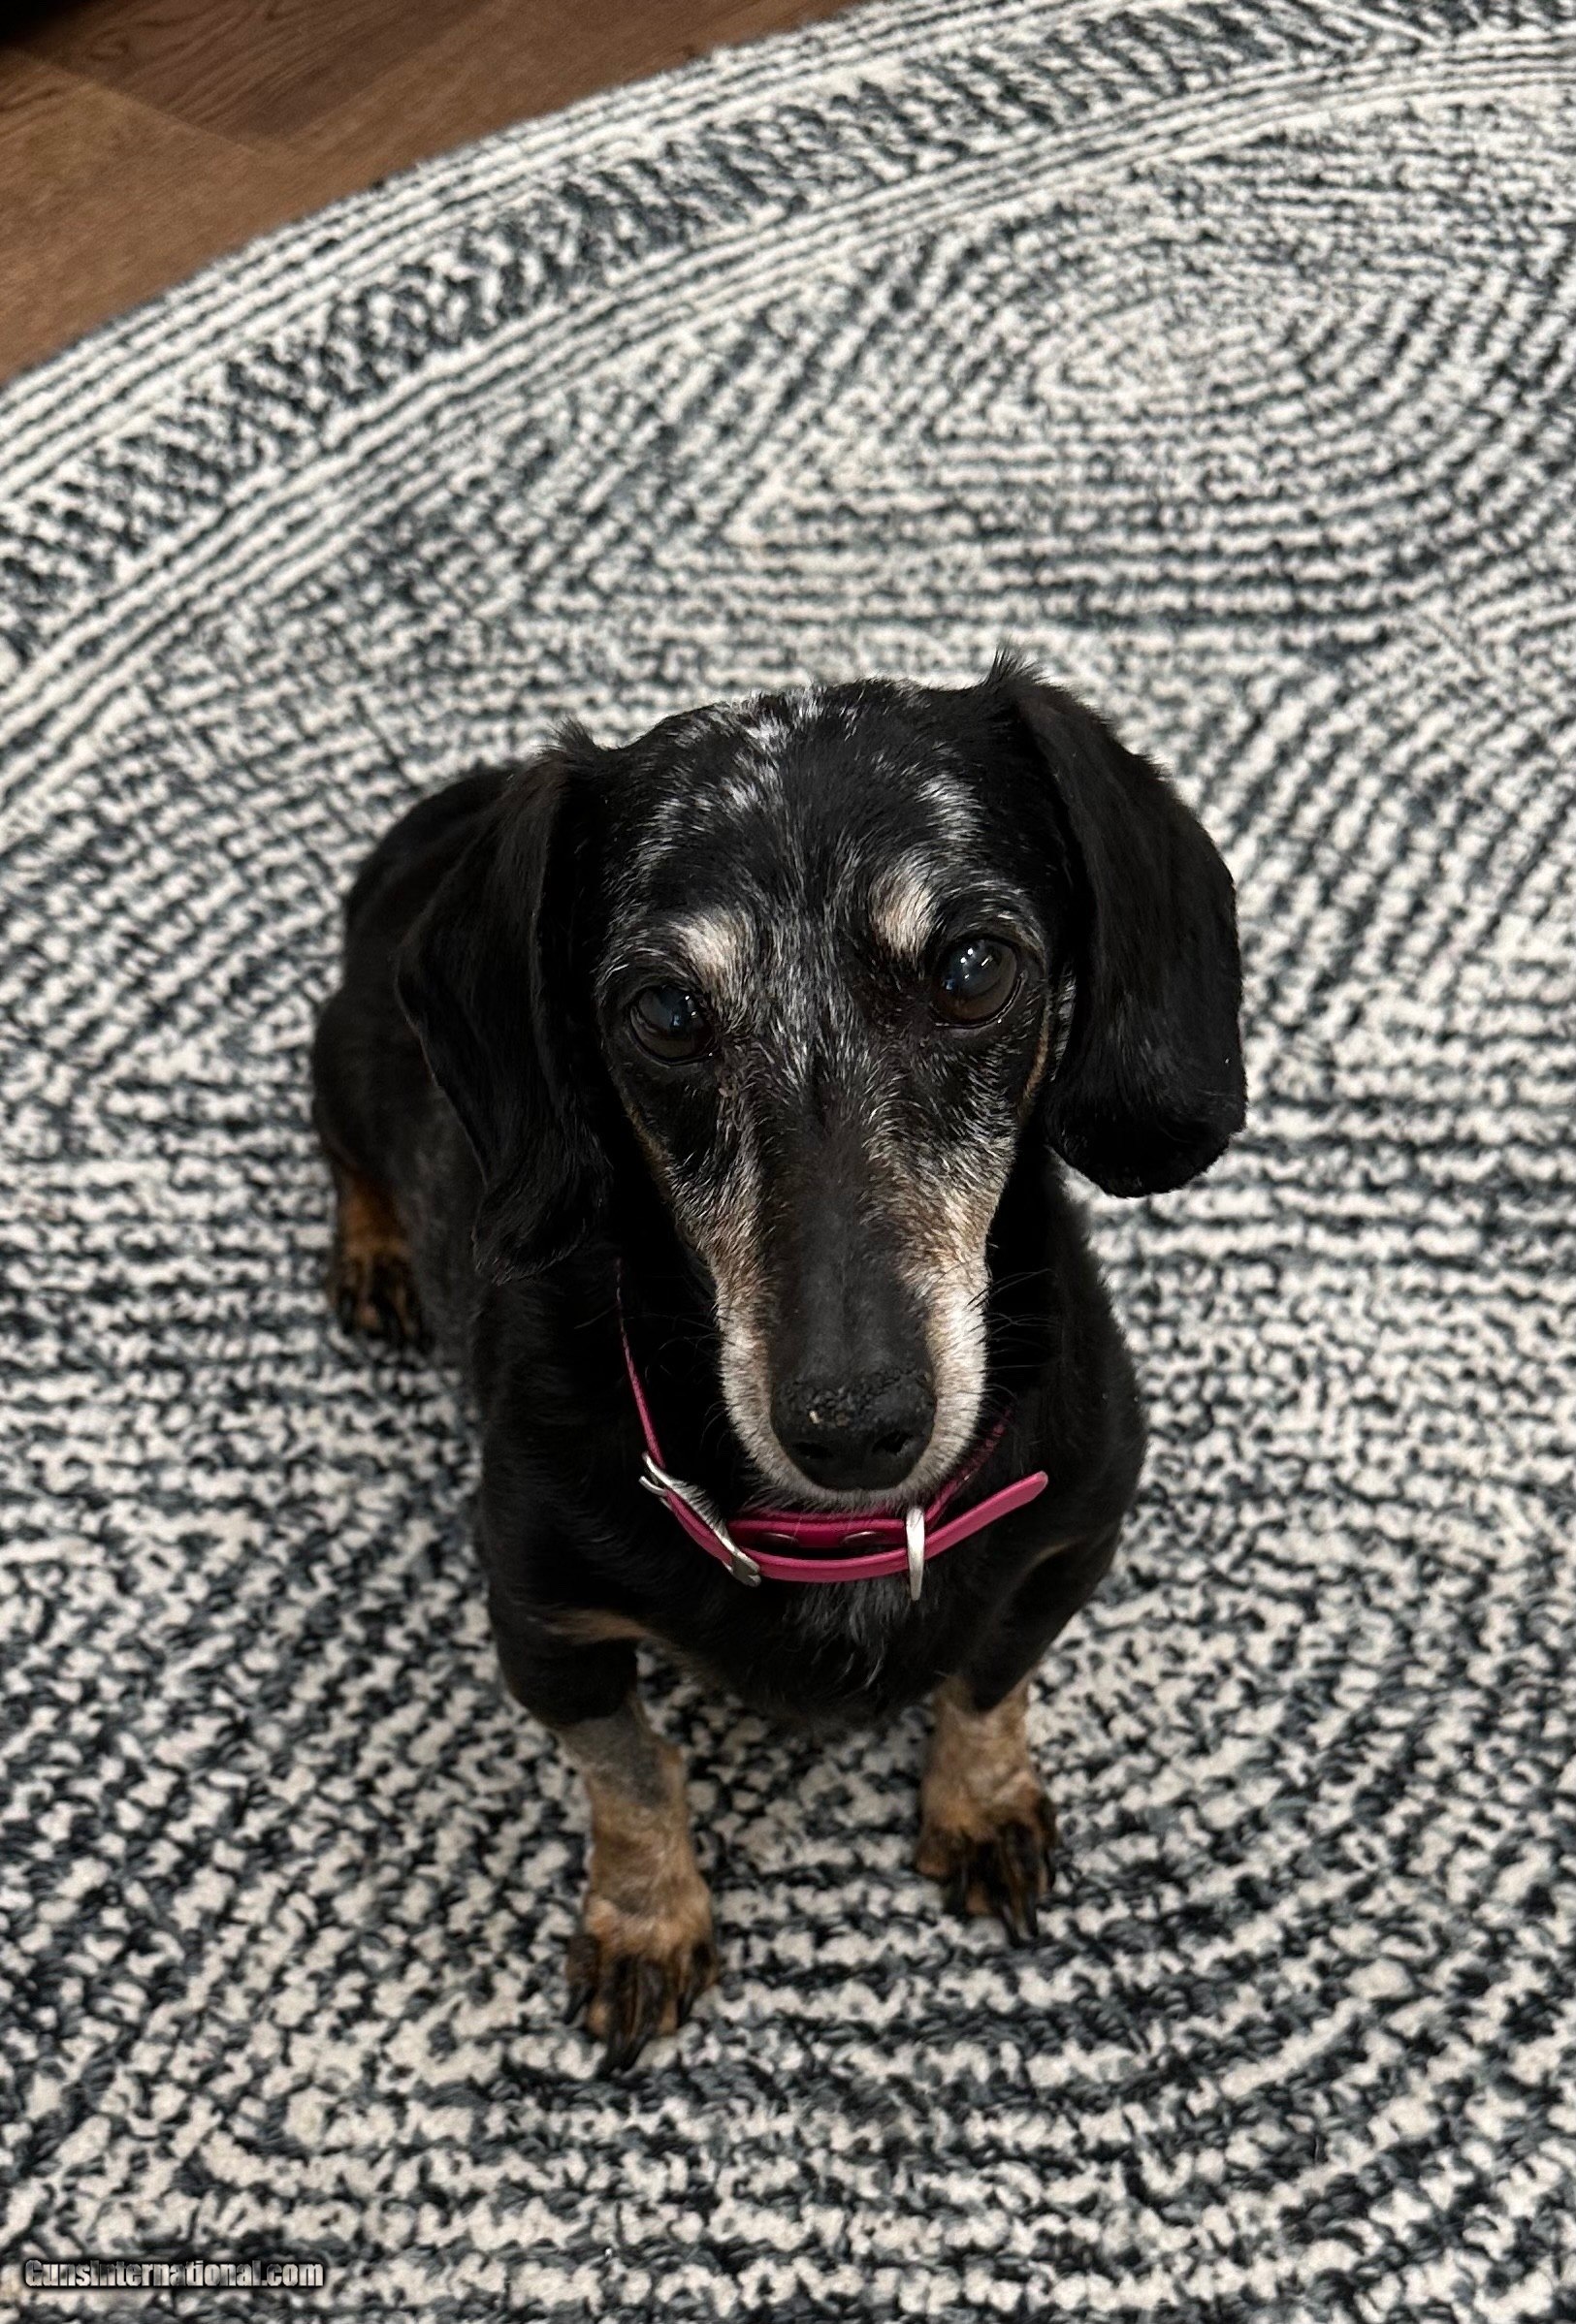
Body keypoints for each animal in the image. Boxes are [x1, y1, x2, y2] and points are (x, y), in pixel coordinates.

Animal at [309, 651, 1244, 2070]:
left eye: (972, 967)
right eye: (663, 1012)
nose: (854, 1426)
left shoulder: (1068, 1543)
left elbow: (989, 1682)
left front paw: (980, 1804)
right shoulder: (543, 1628)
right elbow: (631, 1775)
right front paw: (646, 1921)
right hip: (342, 1058)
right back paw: (372, 1251)